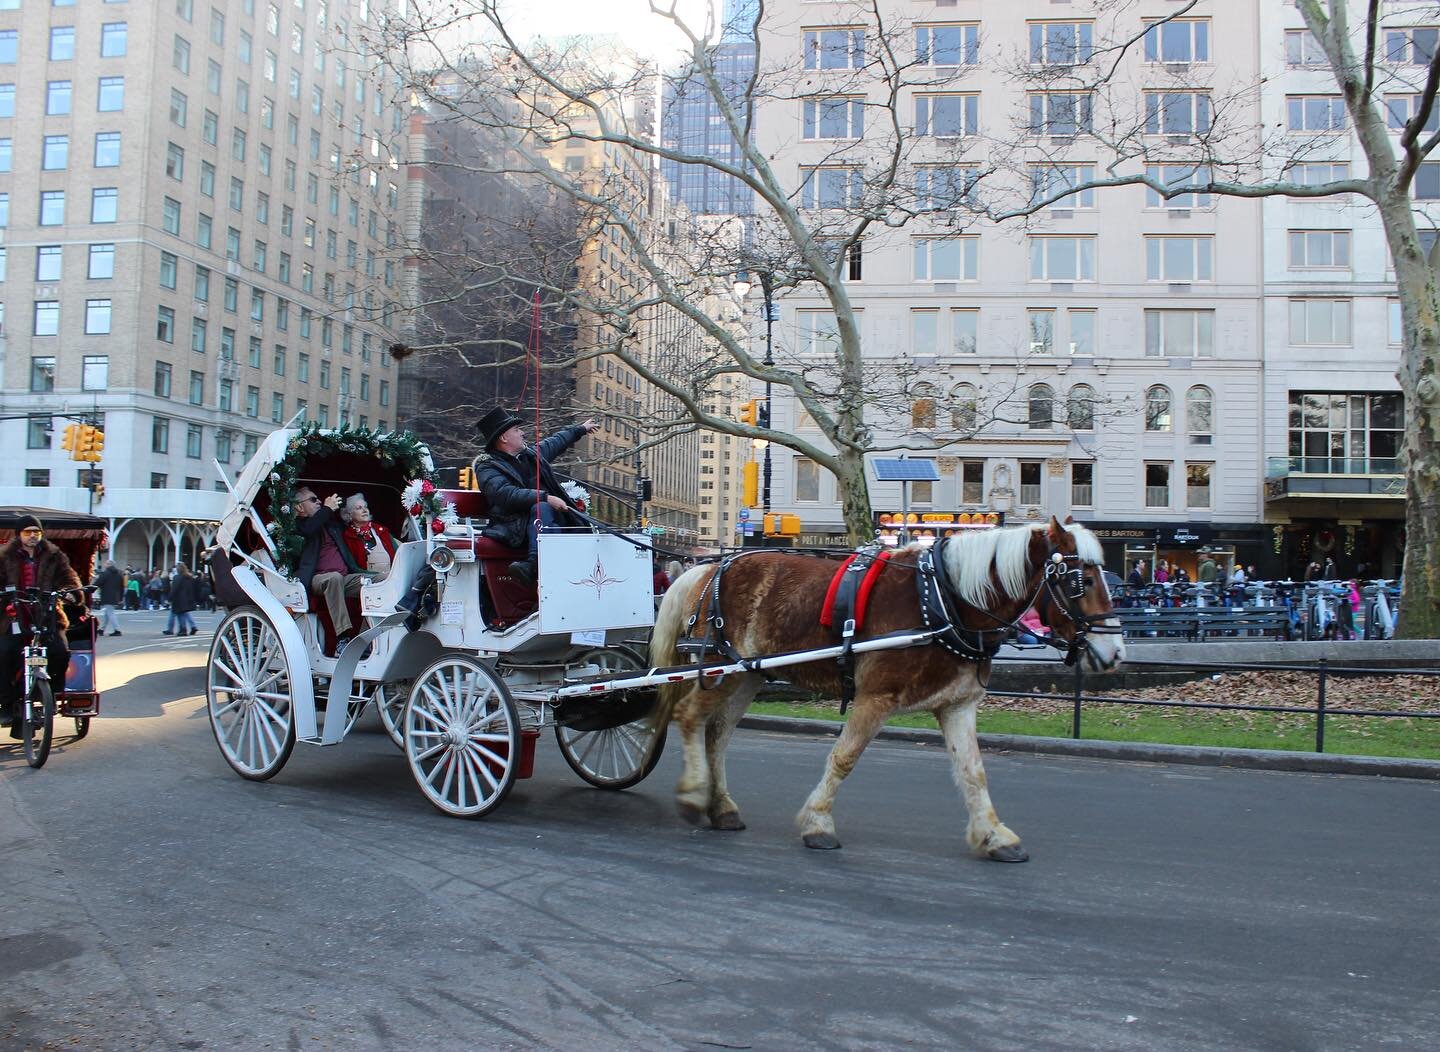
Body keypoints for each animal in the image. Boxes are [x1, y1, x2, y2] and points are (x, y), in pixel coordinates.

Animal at [650, 515, 1123, 857]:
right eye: (1080, 580)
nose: (1115, 651)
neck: (946, 601)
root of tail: (710, 567)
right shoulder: (875, 697)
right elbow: (844, 758)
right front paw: (818, 822)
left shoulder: (957, 704)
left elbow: (973, 771)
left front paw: (994, 835)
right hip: (718, 670)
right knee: (689, 717)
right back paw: (694, 795)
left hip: (746, 675)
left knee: (717, 734)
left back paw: (721, 806)